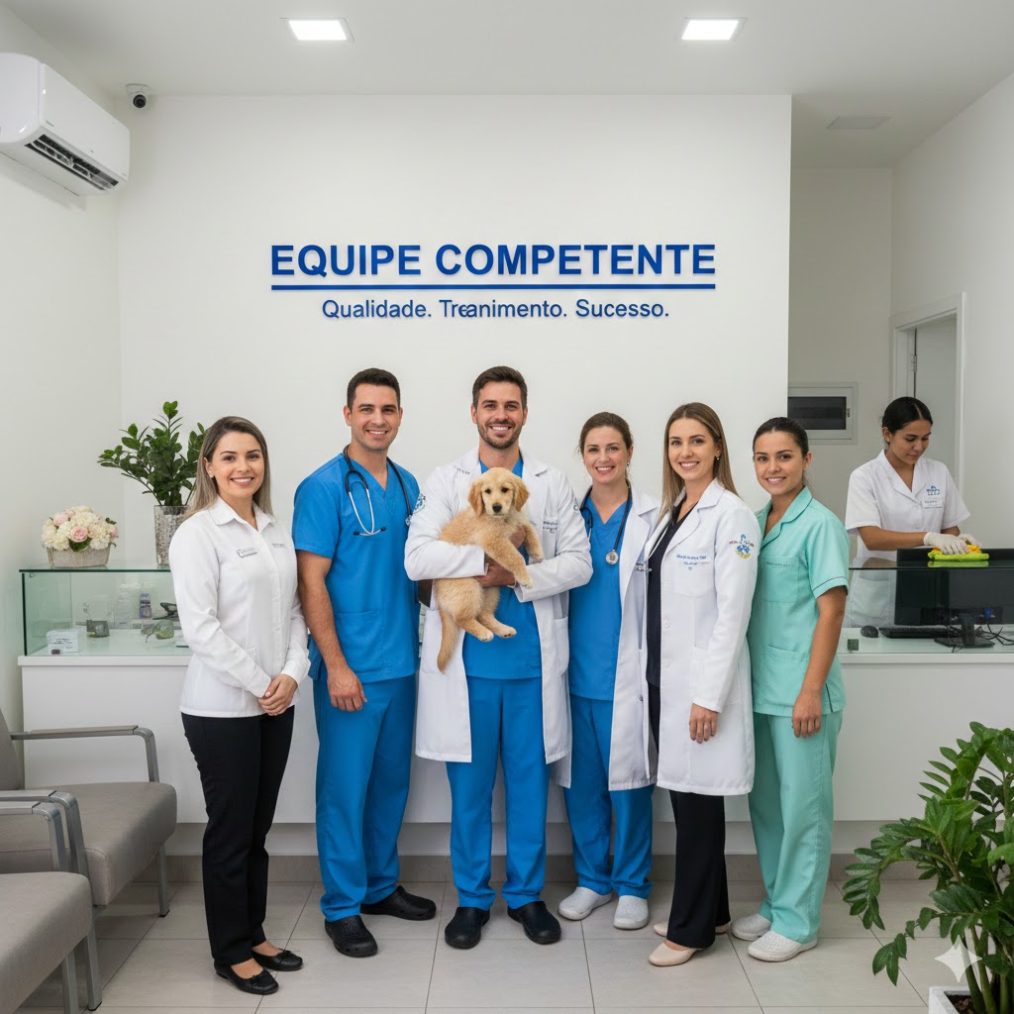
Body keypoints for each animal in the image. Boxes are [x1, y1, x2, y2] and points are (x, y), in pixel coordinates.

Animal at [434, 467, 544, 672]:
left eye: (505, 489)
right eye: (487, 492)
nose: (496, 507)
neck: (504, 519)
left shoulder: (519, 521)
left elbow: (530, 529)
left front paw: (538, 552)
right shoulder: (494, 541)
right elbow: (515, 556)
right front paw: (525, 577)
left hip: (492, 591)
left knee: (483, 614)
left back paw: (503, 629)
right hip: (469, 587)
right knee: (462, 618)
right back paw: (483, 633)